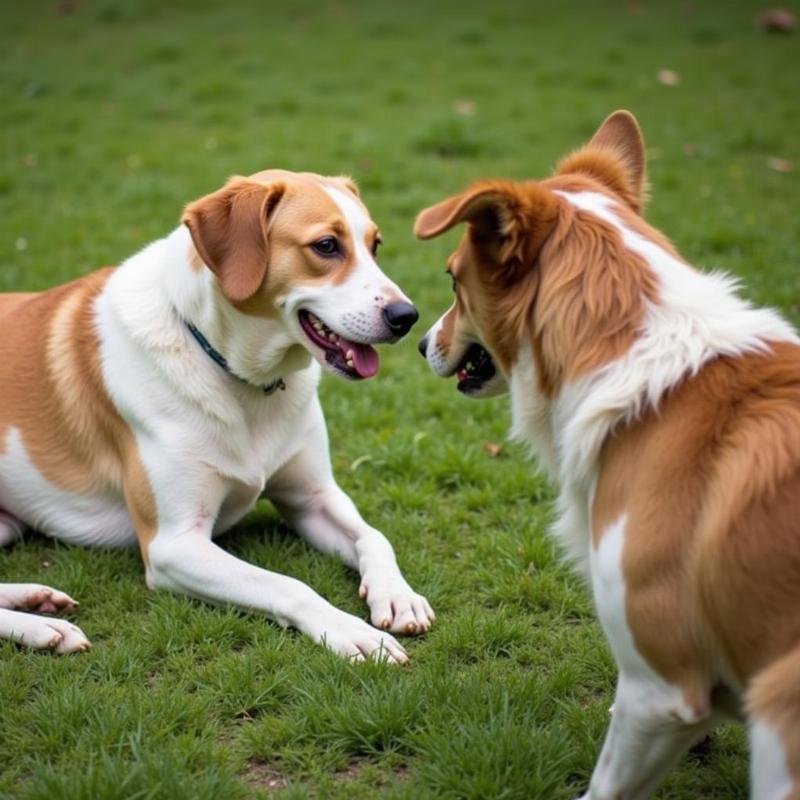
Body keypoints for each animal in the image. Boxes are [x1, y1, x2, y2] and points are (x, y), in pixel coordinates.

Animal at [0, 169, 434, 664]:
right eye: (326, 246)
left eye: (375, 245)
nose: (407, 316)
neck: (243, 377)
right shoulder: (173, 545)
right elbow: (290, 585)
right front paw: (351, 631)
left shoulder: (313, 497)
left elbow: (374, 536)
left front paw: (397, 596)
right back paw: (44, 628)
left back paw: (35, 600)